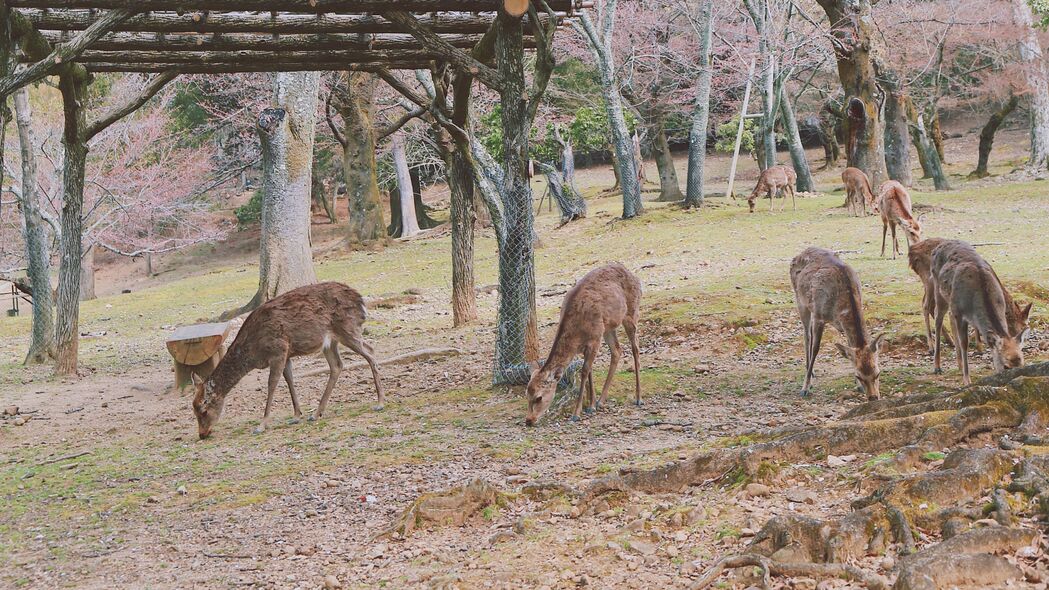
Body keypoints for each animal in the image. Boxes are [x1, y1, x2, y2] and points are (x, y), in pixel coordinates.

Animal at [190, 279, 383, 436]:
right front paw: (297, 416)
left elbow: (272, 385)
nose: (202, 434)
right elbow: (289, 380)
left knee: (371, 351)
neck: (253, 352)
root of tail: (361, 301)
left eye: (203, 410)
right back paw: (316, 413)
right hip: (330, 342)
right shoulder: (287, 354)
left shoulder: (278, 350)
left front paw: (261, 425)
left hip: (348, 329)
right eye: (193, 410)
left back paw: (380, 402)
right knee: (337, 365)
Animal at [522, 261, 637, 422]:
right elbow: (589, 371)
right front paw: (592, 405)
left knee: (635, 347)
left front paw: (576, 413)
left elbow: (584, 371)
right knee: (617, 350)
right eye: (527, 394)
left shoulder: (595, 338)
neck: (576, 334)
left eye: (539, 397)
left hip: (631, 313)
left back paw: (639, 398)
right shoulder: (586, 345)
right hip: (608, 328)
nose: (529, 420)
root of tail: (631, 273)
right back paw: (601, 401)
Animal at [788, 245, 885, 396]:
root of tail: (800, 253)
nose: (873, 397)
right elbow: (816, 349)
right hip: (800, 301)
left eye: (878, 373)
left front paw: (859, 387)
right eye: (859, 375)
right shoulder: (819, 316)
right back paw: (810, 373)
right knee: (807, 335)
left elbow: (850, 347)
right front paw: (805, 387)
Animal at [931, 240, 1028, 384]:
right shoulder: (960, 312)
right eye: (1006, 366)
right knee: (938, 316)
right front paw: (967, 380)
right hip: (937, 287)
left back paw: (959, 365)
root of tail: (939, 246)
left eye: (1022, 363)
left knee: (949, 317)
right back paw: (937, 366)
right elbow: (964, 343)